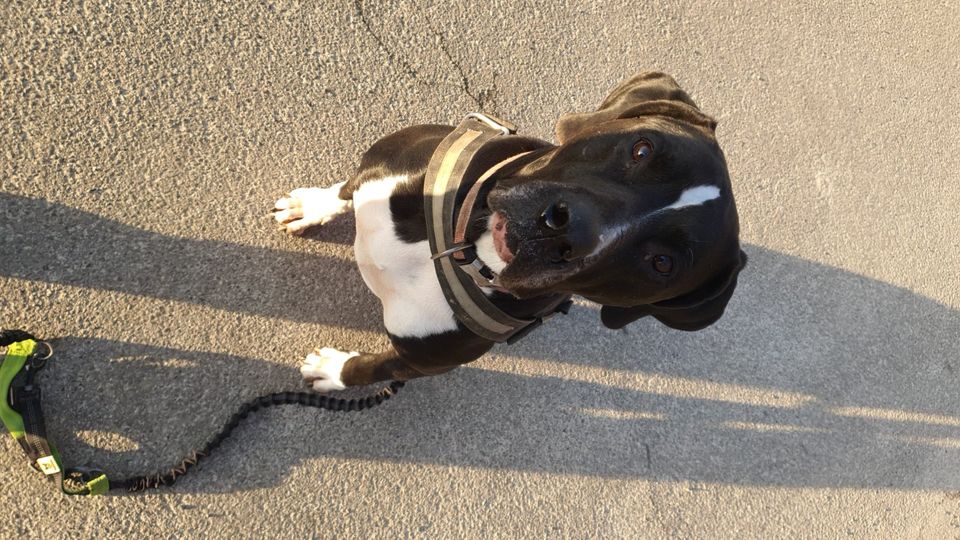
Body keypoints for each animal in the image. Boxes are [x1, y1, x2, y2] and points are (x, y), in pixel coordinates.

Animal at [274, 73, 748, 392]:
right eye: (642, 148)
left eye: (662, 264)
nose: (566, 229)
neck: (459, 249)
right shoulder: (382, 171)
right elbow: (346, 190)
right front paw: (312, 206)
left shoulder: (418, 362)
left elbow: (373, 369)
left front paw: (333, 372)